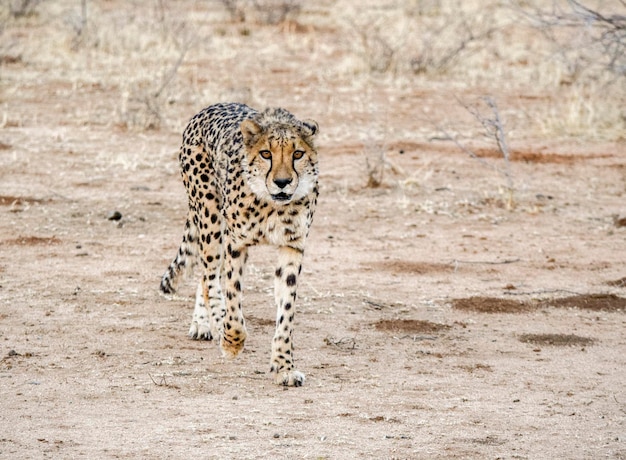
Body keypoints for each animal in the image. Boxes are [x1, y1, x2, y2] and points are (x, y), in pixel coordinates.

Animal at [161, 102, 316, 386]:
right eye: (266, 153)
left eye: (298, 153)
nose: (282, 182)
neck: (272, 204)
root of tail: (211, 107)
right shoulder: (237, 243)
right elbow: (232, 297)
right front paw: (231, 342)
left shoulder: (292, 247)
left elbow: (286, 311)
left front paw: (284, 366)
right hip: (210, 217)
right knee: (209, 274)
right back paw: (210, 322)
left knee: (207, 274)